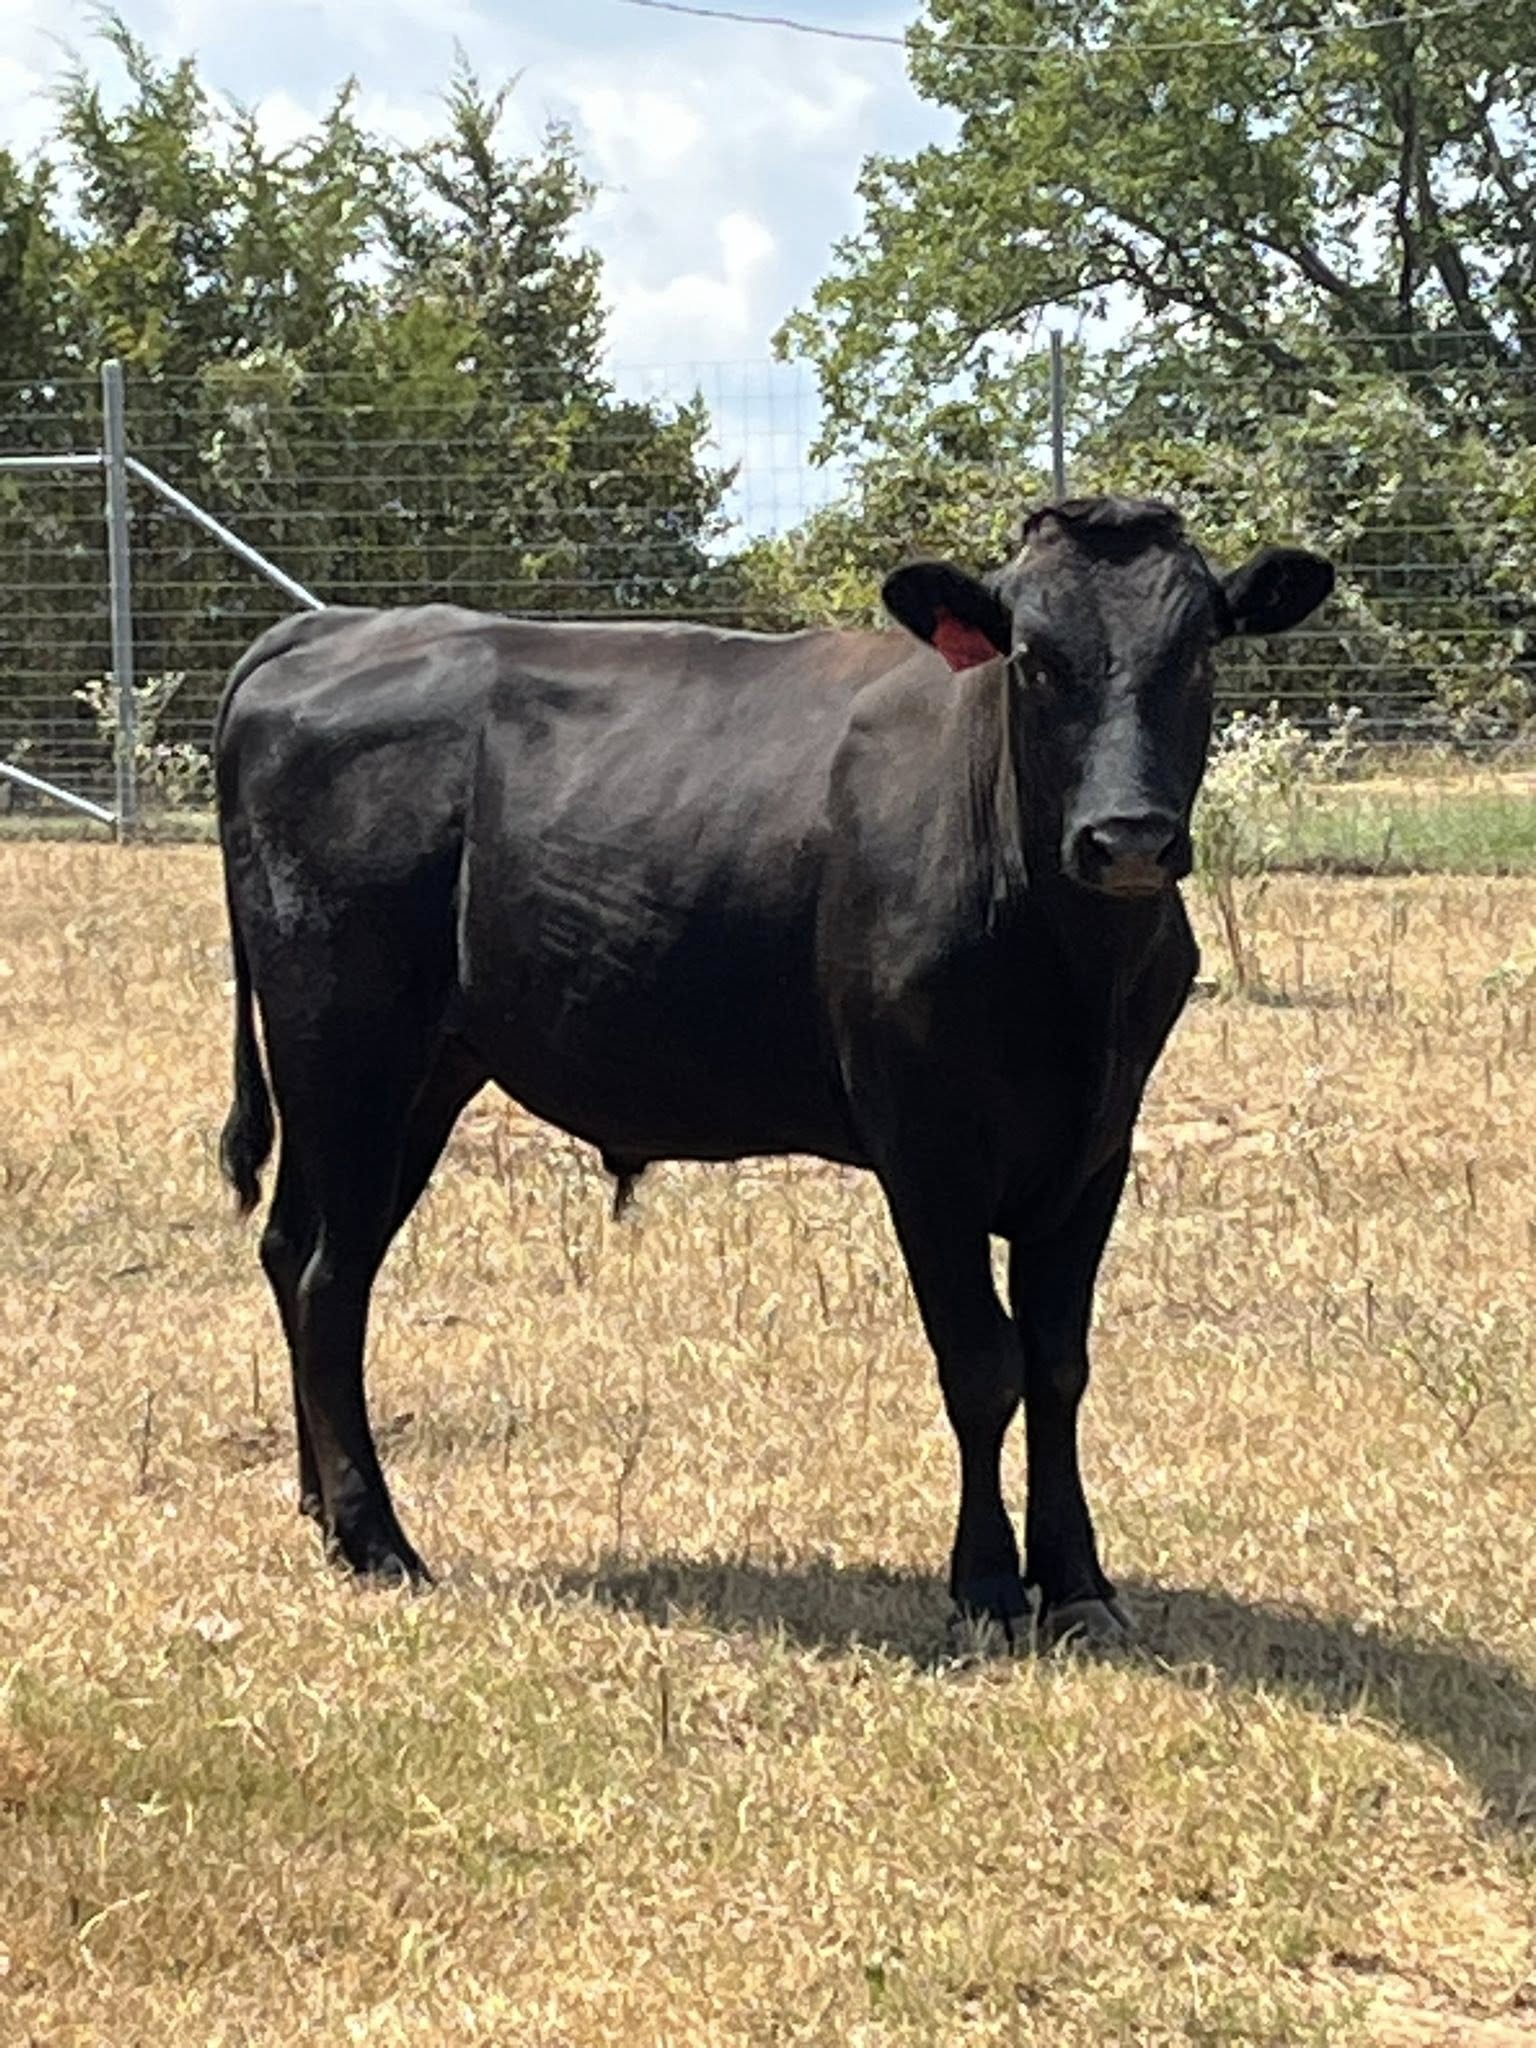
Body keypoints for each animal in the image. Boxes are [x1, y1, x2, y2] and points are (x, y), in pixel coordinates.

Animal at [216, 497, 1333, 1643]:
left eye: (1199, 650)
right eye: (1032, 657)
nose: (1128, 838)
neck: (1071, 967)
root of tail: (331, 628)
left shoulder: (1096, 1146)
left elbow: (1059, 1363)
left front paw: (1077, 1585)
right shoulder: (926, 1149)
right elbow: (983, 1364)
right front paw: (983, 1586)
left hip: (418, 1074)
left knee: (296, 1250)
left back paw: (319, 1505)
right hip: (345, 1045)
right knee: (329, 1275)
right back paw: (376, 1540)